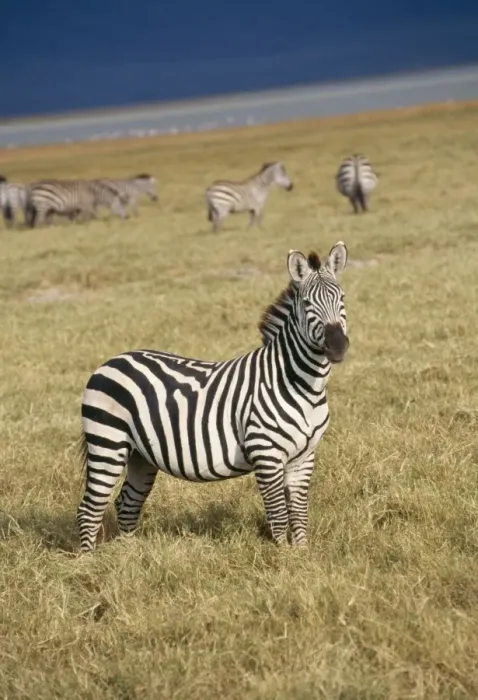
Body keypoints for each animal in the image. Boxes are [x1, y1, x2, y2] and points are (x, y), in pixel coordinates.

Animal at [77, 241, 349, 553]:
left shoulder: (305, 456)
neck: (301, 385)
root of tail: (109, 362)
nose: (338, 346)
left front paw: (301, 554)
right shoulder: (265, 452)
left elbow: (300, 512)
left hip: (140, 455)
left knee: (127, 503)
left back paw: (130, 555)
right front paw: (282, 557)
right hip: (107, 443)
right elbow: (279, 514)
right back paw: (88, 560)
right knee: (90, 508)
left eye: (342, 298)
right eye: (306, 304)